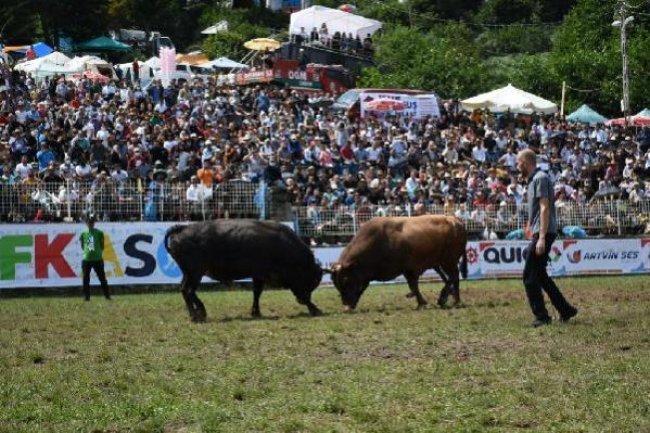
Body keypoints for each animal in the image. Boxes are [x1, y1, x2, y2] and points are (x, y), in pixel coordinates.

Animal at [163, 219, 322, 320]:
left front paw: (256, 312)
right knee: (189, 290)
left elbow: (257, 292)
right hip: (195, 273)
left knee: (184, 290)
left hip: (189, 273)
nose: (300, 301)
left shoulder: (258, 275)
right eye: (313, 280)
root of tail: (183, 228)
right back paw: (198, 314)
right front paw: (315, 309)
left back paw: (196, 313)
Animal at [330, 214, 466, 308]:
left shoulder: (408, 269)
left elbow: (413, 285)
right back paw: (453, 298)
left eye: (346, 280)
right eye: (336, 284)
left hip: (448, 261)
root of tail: (455, 220)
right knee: (451, 278)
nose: (346, 303)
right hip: (442, 263)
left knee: (454, 276)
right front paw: (419, 301)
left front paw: (421, 302)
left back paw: (449, 299)